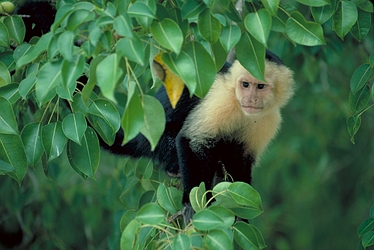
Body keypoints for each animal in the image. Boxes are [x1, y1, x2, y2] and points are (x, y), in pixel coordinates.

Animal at [103, 51, 296, 221]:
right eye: (245, 85)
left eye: (260, 86)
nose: (250, 99)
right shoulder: (221, 99)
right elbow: (192, 141)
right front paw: (192, 202)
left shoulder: (269, 120)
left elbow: (242, 159)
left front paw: (241, 212)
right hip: (159, 142)